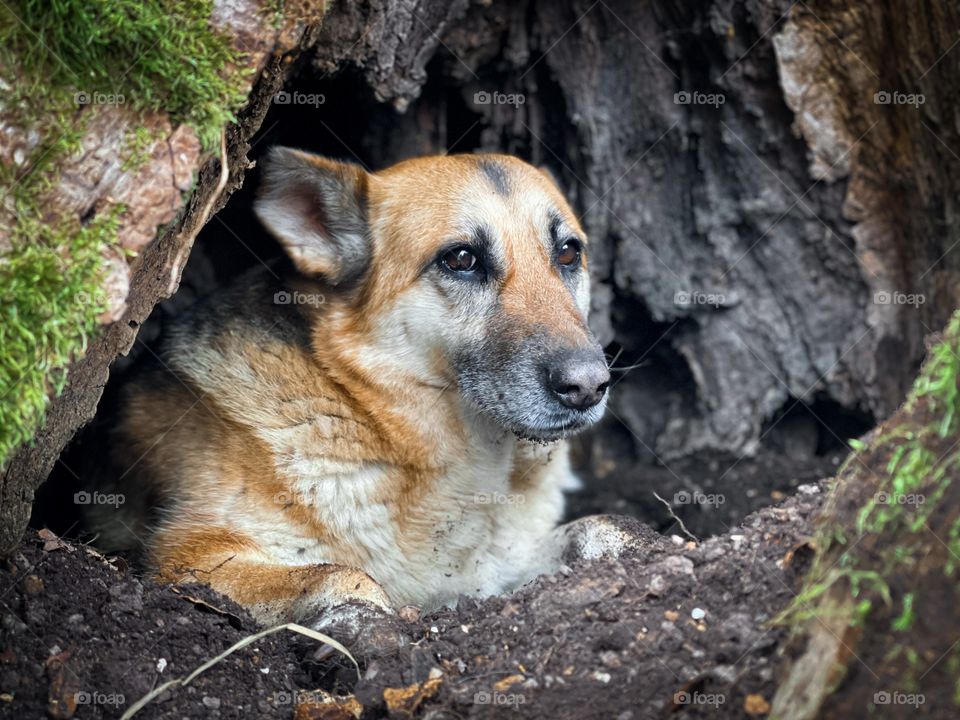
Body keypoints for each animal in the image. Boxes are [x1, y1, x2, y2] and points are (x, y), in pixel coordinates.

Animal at [92, 149, 632, 656]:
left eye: (568, 253)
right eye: (461, 259)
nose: (589, 385)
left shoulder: (497, 568)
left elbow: (604, 524)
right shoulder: (192, 554)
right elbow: (341, 573)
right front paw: (369, 629)